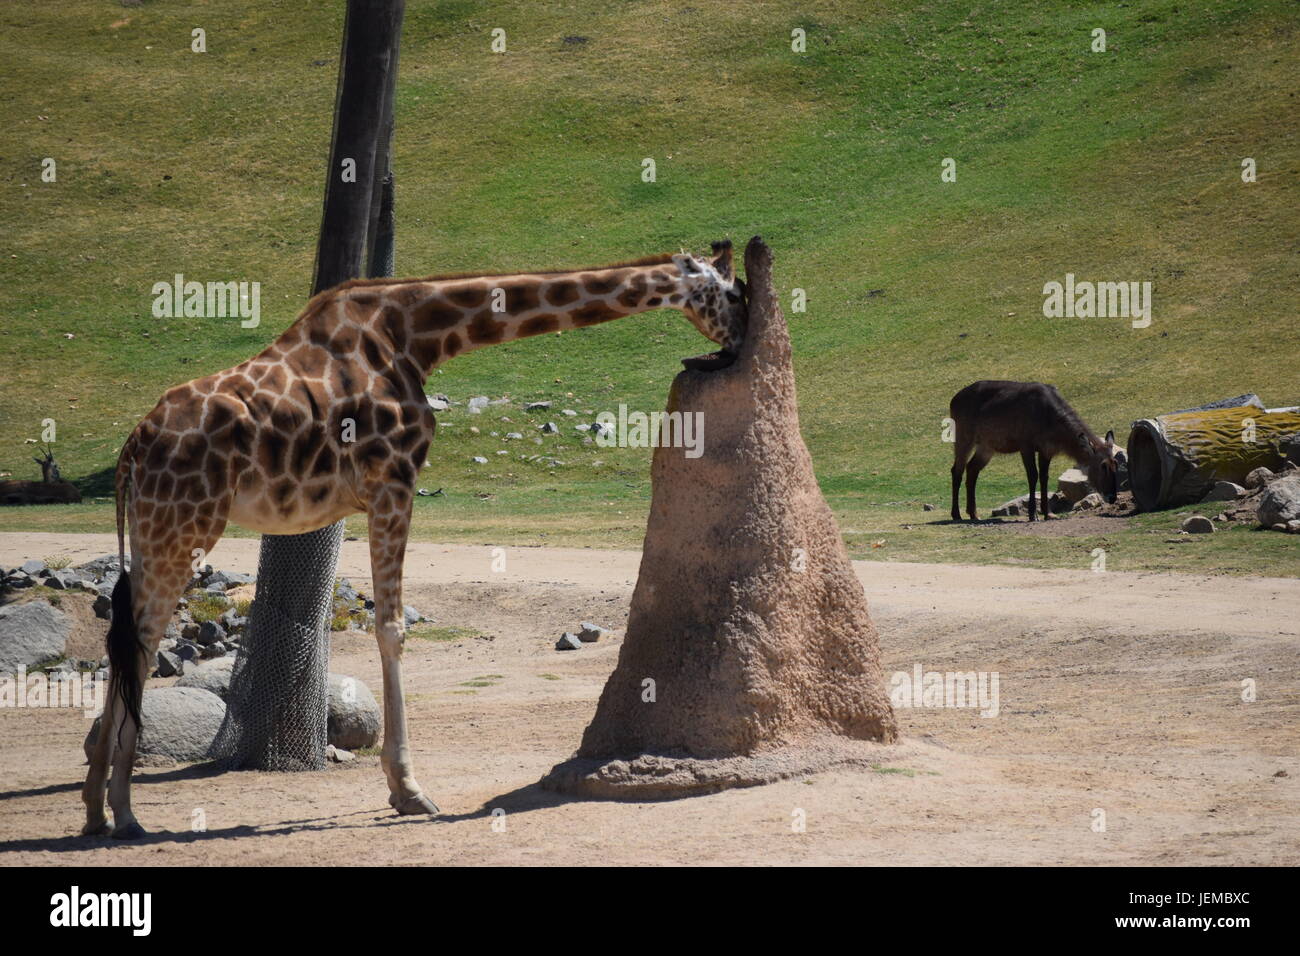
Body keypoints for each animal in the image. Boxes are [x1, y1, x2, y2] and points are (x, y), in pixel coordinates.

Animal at [86, 243, 748, 842]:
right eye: (735, 294)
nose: (741, 343)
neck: (421, 337)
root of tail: (133, 446)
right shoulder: (393, 483)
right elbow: (392, 628)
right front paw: (408, 790)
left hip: (153, 528)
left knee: (128, 638)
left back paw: (97, 806)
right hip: (185, 523)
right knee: (141, 639)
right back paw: (123, 812)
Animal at [951, 379, 1123, 522]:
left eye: (1115, 463)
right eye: (1102, 465)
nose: (1112, 497)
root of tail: (953, 400)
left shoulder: (1046, 450)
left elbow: (1044, 477)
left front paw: (1048, 513)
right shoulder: (1026, 445)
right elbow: (1033, 476)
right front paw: (1033, 514)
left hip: (987, 446)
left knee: (972, 468)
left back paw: (973, 514)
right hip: (964, 437)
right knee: (957, 469)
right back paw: (956, 514)